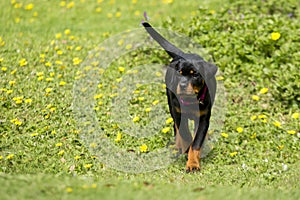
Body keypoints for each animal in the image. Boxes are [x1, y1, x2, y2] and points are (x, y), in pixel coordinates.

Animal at [142, 21, 217, 172]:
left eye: (195, 74)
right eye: (179, 73)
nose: (182, 85)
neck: (190, 101)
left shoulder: (204, 117)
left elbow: (197, 141)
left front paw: (193, 163)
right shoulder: (178, 113)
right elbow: (185, 134)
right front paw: (187, 152)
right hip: (171, 106)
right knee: (176, 128)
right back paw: (178, 147)